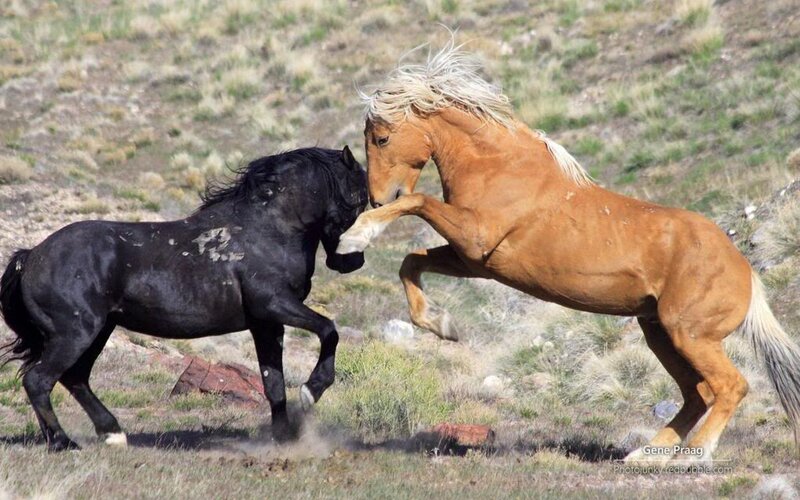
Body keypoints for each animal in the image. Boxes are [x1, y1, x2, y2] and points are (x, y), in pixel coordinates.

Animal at [0, 146, 367, 451]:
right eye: (359, 197)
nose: (351, 261)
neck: (269, 230)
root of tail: (31, 257)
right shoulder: (275, 305)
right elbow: (329, 330)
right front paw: (311, 391)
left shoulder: (266, 324)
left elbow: (273, 382)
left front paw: (283, 438)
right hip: (75, 334)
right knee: (39, 380)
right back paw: (63, 443)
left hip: (98, 331)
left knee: (74, 379)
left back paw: (112, 434)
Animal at [336, 41, 800, 463]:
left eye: (381, 138)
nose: (379, 198)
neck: (499, 166)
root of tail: (745, 270)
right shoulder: (475, 261)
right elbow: (411, 262)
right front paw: (442, 325)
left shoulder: (474, 238)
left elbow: (418, 204)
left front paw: (354, 237)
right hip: (660, 333)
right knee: (697, 393)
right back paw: (645, 455)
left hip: (689, 334)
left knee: (729, 387)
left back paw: (694, 456)